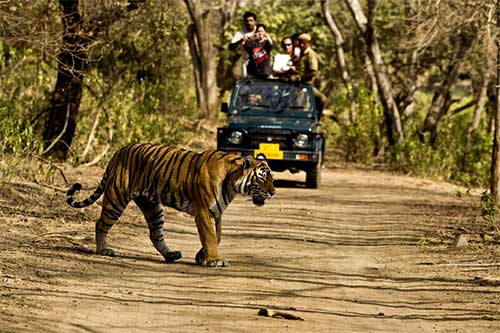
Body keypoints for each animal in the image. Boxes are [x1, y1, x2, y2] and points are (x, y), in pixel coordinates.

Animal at [65, 143, 276, 268]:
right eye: (262, 178)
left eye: (271, 178)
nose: (274, 193)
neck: (232, 183)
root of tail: (120, 150)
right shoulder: (204, 212)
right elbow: (210, 236)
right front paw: (214, 260)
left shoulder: (217, 213)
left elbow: (217, 237)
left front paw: (202, 256)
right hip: (117, 198)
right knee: (101, 223)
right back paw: (104, 250)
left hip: (152, 206)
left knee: (155, 234)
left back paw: (171, 255)